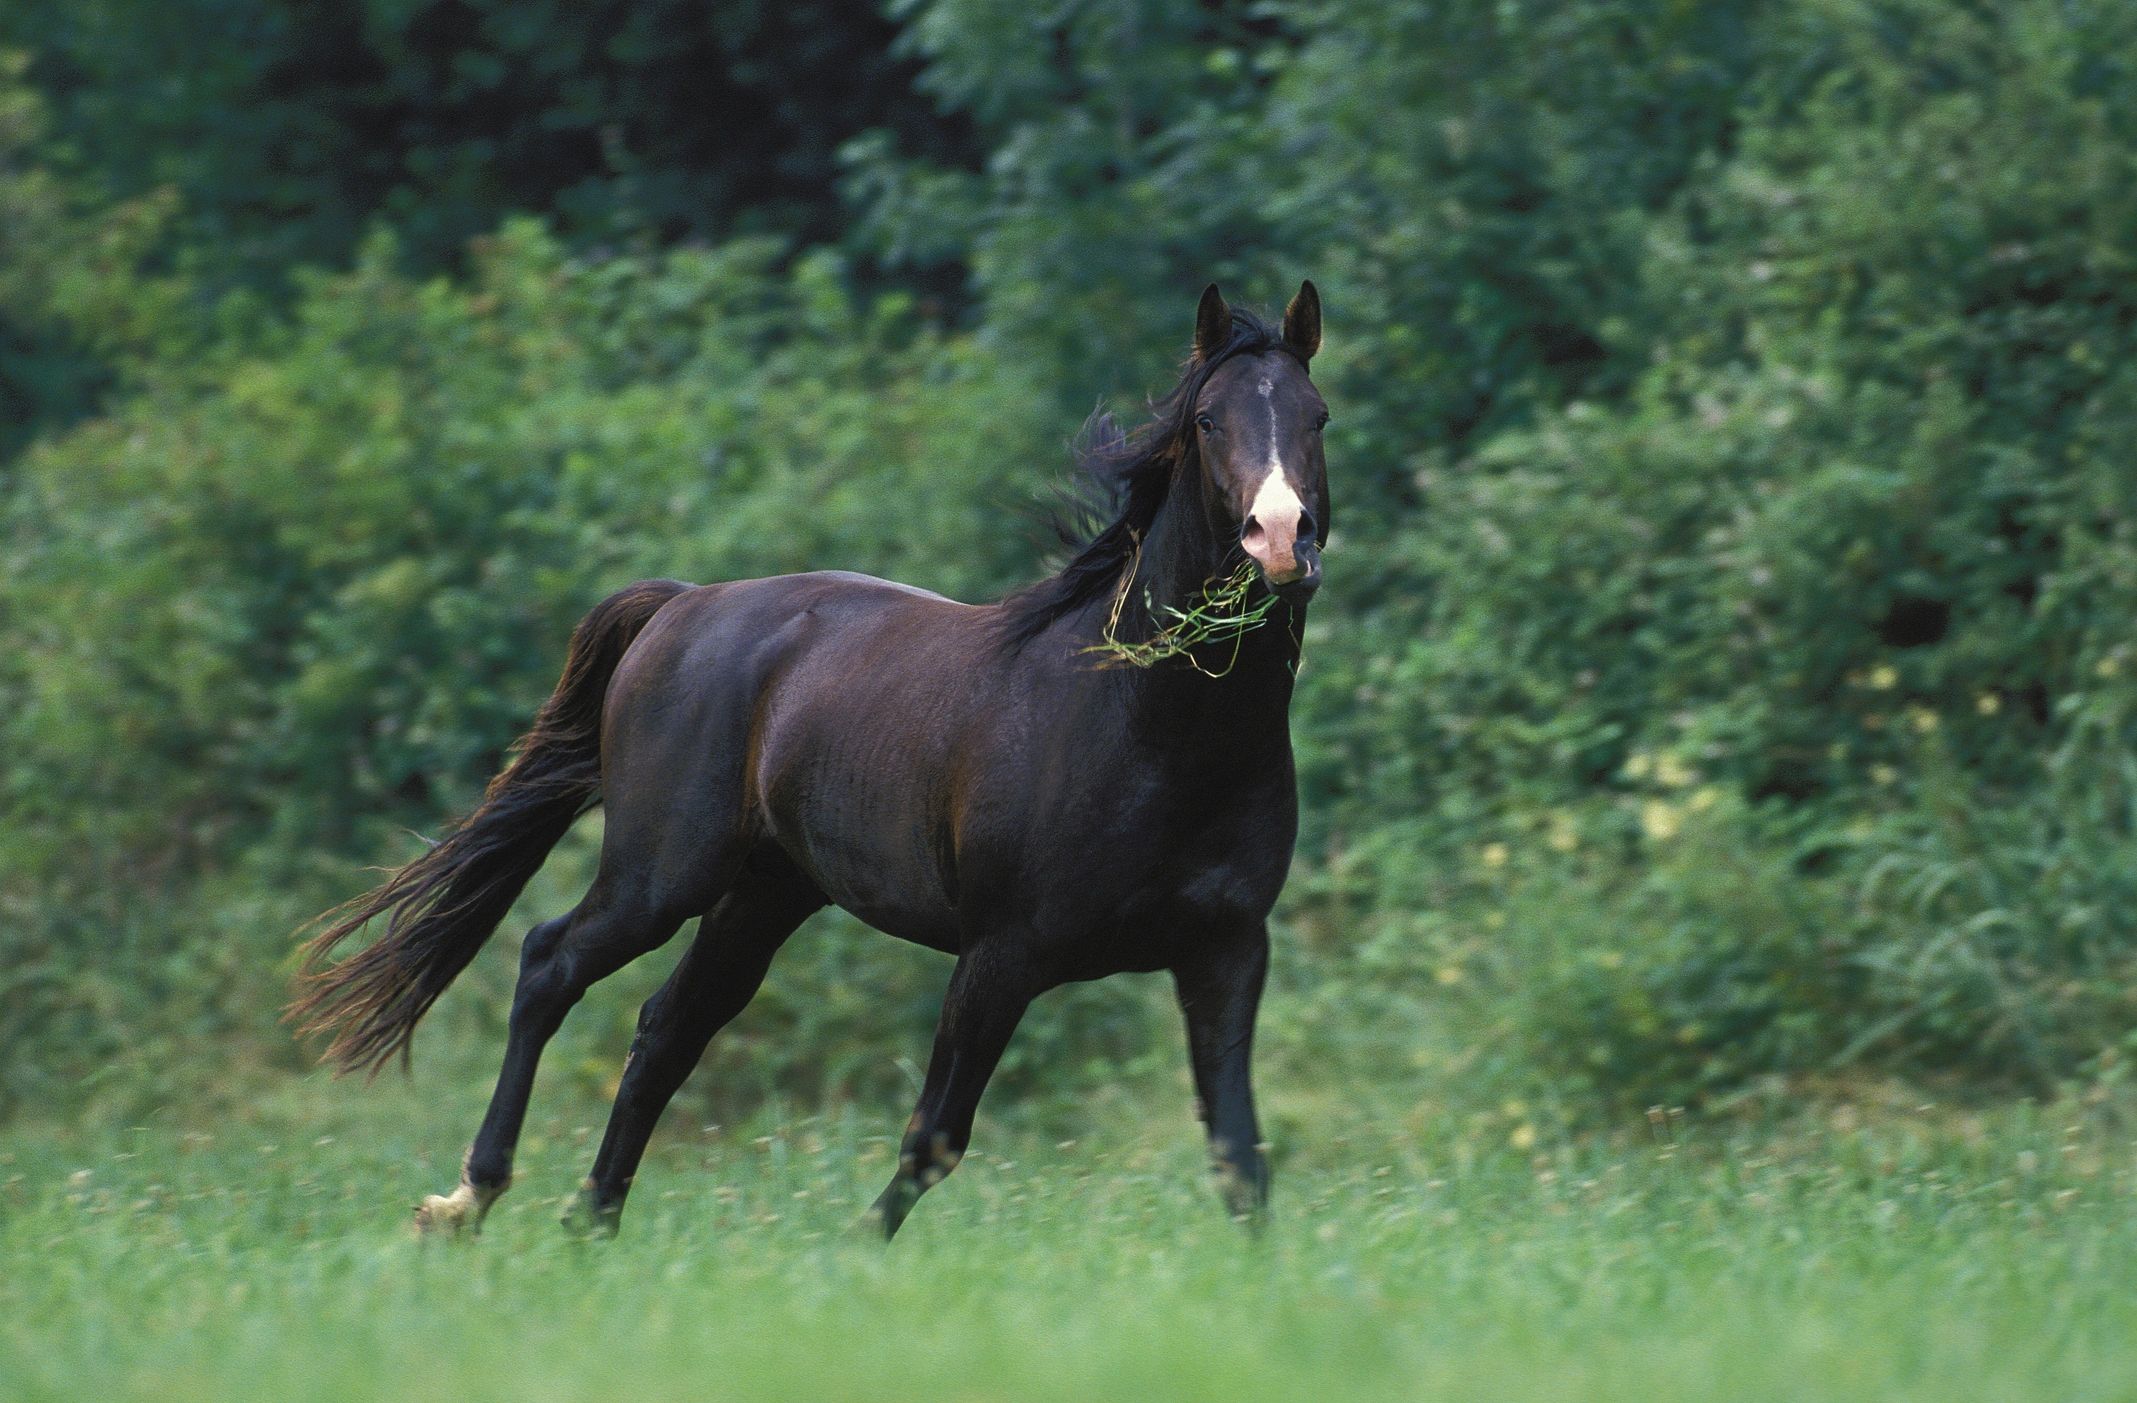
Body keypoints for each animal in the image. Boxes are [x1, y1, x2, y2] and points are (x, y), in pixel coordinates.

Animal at [292, 281, 1331, 1239]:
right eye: (1207, 420)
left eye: (1316, 415)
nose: (1281, 538)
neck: (1150, 729)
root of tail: (682, 605)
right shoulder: (1001, 953)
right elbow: (933, 1137)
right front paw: (857, 1258)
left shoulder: (1224, 949)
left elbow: (1239, 1155)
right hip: (660, 874)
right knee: (551, 964)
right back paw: (469, 1197)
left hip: (764, 892)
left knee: (666, 1030)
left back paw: (591, 1222)